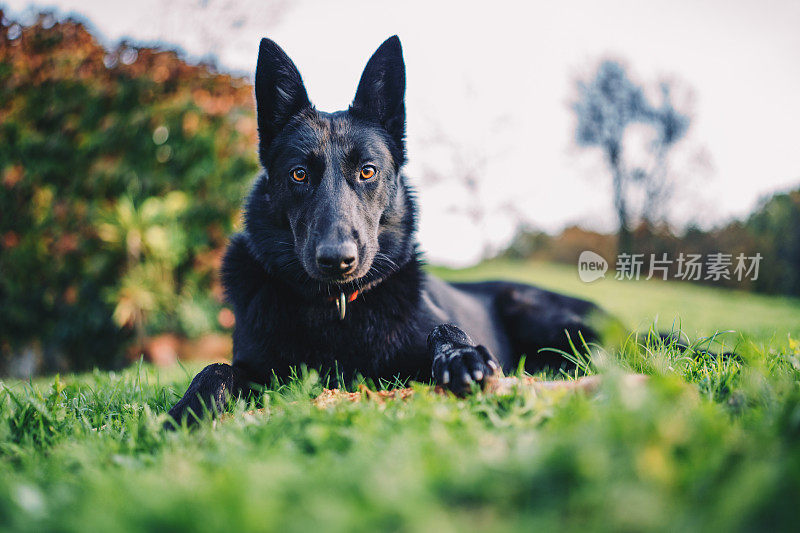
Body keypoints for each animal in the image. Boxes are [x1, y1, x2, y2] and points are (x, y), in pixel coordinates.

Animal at [167, 36, 620, 424]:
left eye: (368, 171)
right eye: (299, 174)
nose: (338, 260)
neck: (337, 308)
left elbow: (444, 329)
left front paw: (461, 356)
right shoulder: (254, 367)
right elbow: (215, 368)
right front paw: (187, 410)